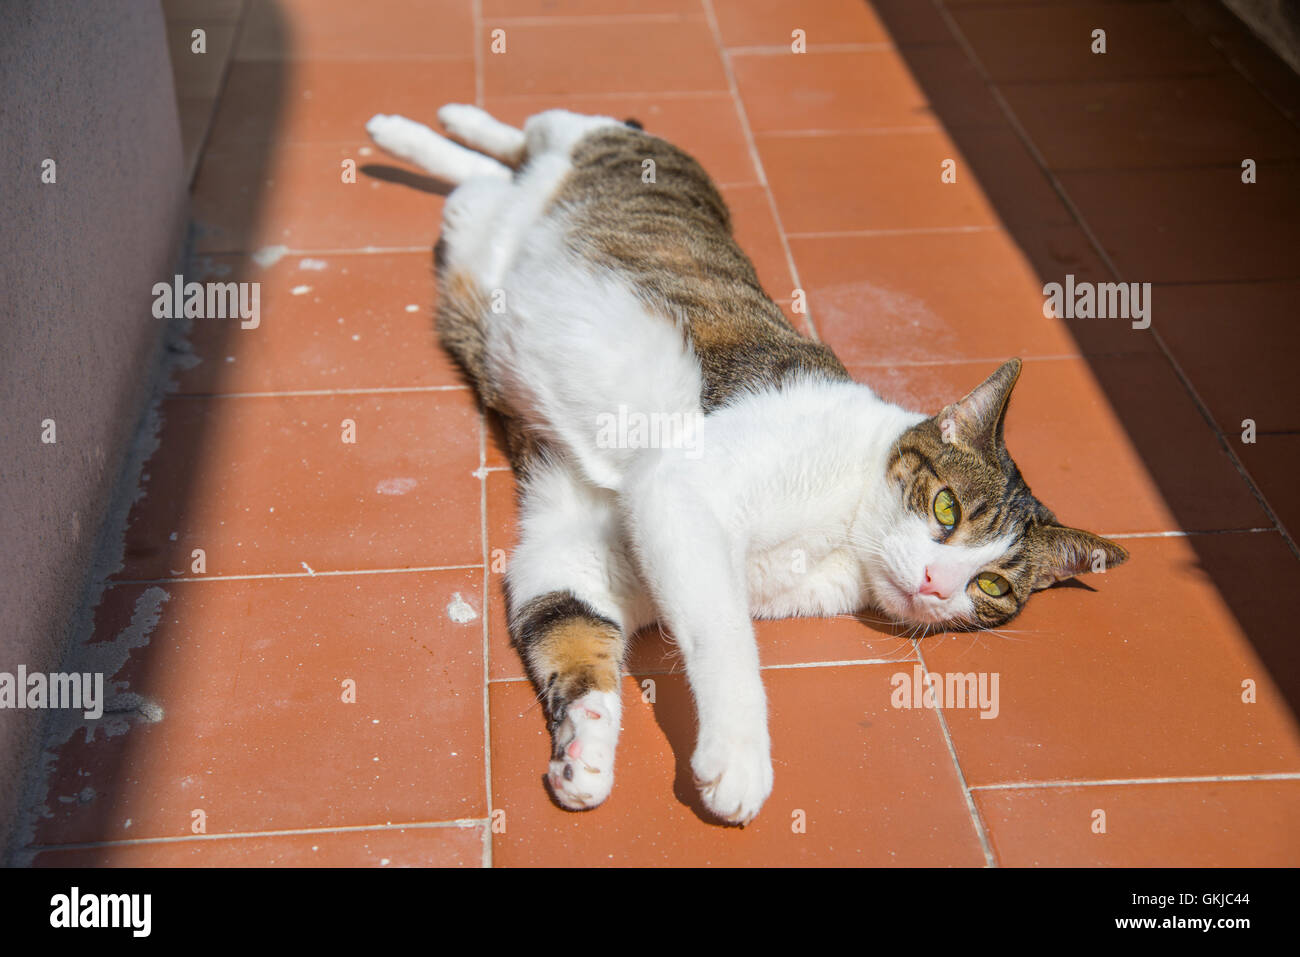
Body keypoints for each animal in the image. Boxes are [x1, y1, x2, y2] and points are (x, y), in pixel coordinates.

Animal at [364, 102, 1128, 821]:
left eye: (992, 585)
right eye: (946, 508)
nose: (939, 586)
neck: (845, 534)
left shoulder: (577, 548)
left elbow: (572, 632)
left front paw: (586, 750)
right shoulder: (683, 489)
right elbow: (727, 635)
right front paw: (738, 757)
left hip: (478, 227)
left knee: (486, 180)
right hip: (596, 139)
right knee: (531, 136)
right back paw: (414, 125)